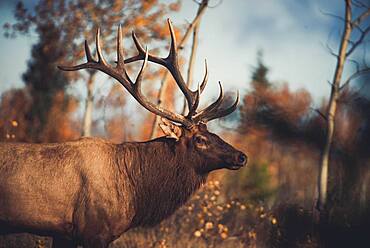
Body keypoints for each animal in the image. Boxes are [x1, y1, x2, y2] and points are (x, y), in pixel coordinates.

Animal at [1, 19, 249, 248]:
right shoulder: (95, 231)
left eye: (212, 132)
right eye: (200, 139)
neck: (135, 193)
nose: (241, 156)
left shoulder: (63, 234)